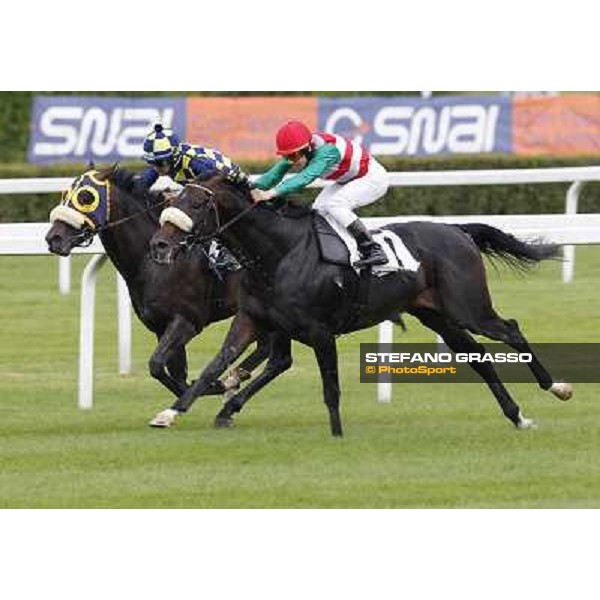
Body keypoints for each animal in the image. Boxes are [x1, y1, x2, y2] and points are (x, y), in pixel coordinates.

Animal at [46, 166, 270, 406]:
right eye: (65, 194)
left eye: (86, 197)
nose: (54, 238)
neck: (151, 262)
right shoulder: (159, 326)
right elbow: (168, 372)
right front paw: (208, 386)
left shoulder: (186, 321)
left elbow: (157, 364)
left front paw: (213, 385)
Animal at [149, 175, 572, 436]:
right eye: (174, 199)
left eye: (196, 205)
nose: (160, 244)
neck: (280, 252)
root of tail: (457, 230)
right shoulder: (253, 319)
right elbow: (214, 366)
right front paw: (171, 412)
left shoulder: (320, 330)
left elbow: (330, 386)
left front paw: (337, 434)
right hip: (437, 314)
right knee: (479, 358)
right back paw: (518, 416)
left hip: (468, 307)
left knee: (511, 329)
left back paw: (557, 387)